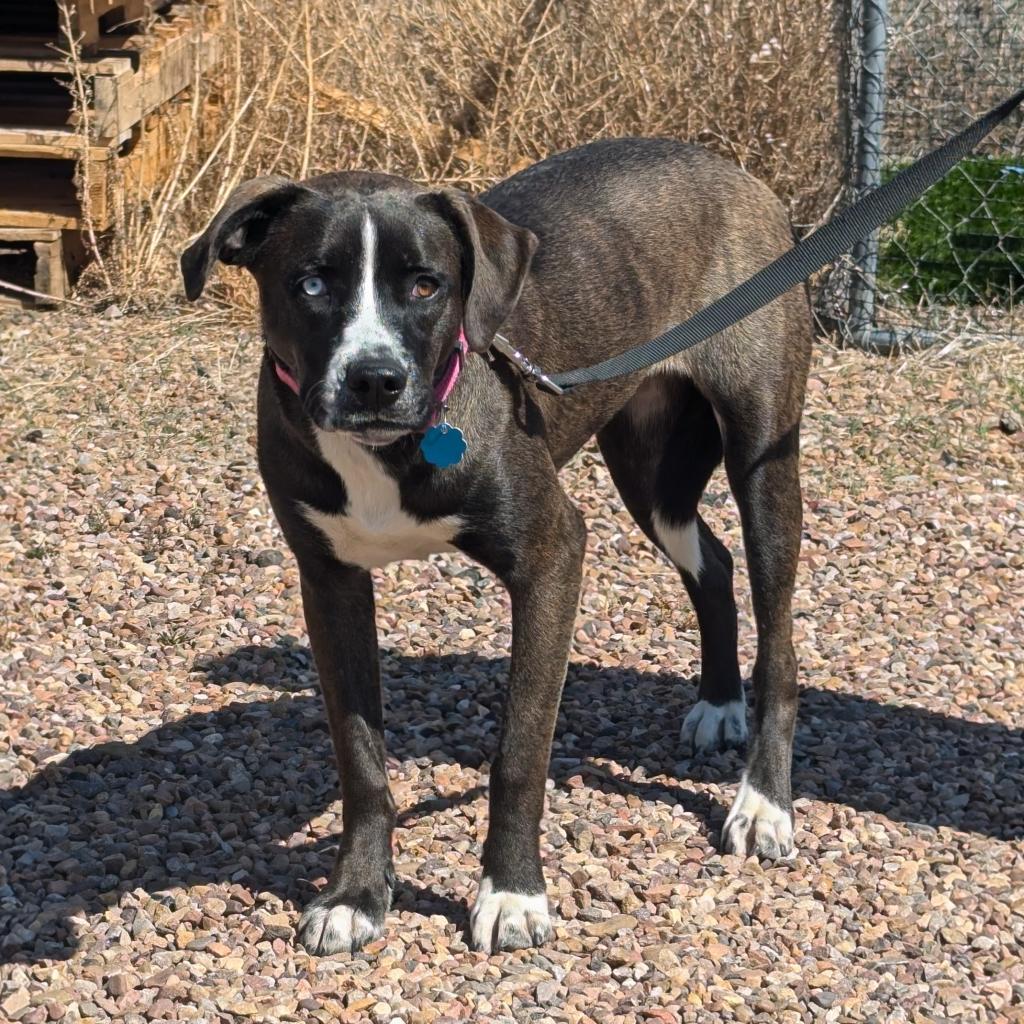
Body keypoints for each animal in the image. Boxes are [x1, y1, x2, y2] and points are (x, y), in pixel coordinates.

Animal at [180, 136, 811, 950]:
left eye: (427, 285)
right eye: (311, 283)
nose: (374, 380)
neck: (392, 450)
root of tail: (728, 167)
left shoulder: (552, 558)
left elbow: (518, 752)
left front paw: (512, 894)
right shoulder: (329, 581)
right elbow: (360, 758)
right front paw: (356, 895)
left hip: (762, 456)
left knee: (778, 633)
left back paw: (763, 802)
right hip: (650, 474)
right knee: (713, 563)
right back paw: (719, 702)